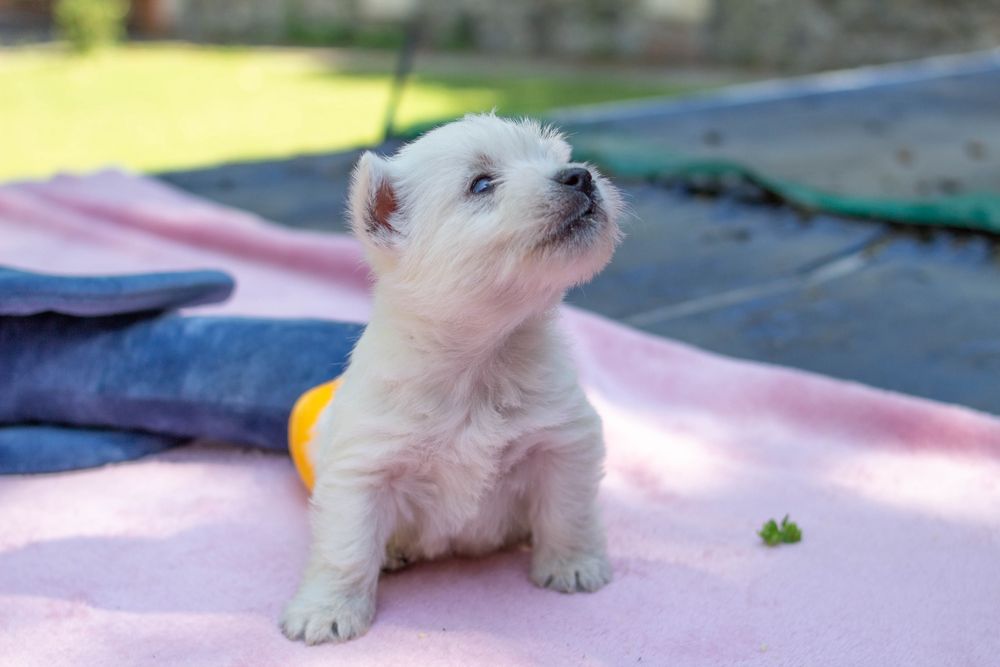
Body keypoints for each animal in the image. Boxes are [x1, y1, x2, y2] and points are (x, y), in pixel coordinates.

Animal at [282, 112, 620, 644]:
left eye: (556, 158)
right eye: (481, 183)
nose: (580, 176)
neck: (480, 361)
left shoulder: (564, 442)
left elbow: (569, 510)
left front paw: (573, 566)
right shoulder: (362, 470)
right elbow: (346, 549)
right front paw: (326, 612)